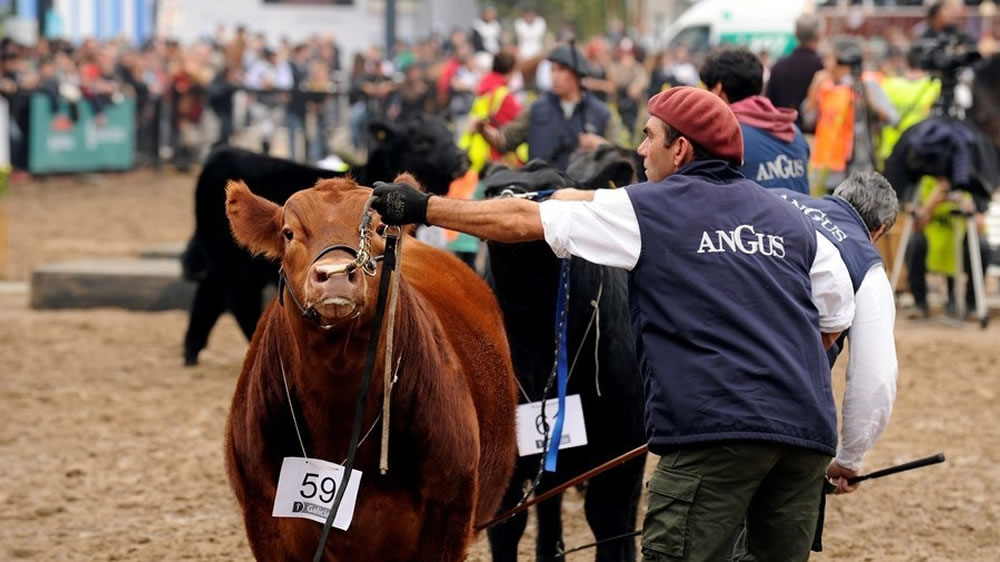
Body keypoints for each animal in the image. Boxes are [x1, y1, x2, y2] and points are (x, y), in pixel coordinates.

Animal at [182, 116, 466, 366]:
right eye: (422, 140)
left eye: (448, 132)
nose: (462, 157)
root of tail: (222, 152)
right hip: (234, 267)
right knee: (238, 301)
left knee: (209, 294)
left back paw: (191, 352)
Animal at [484, 147, 648, 556]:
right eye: (489, 189)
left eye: (551, 189)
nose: (508, 200)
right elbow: (507, 528)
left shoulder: (619, 456)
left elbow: (610, 525)